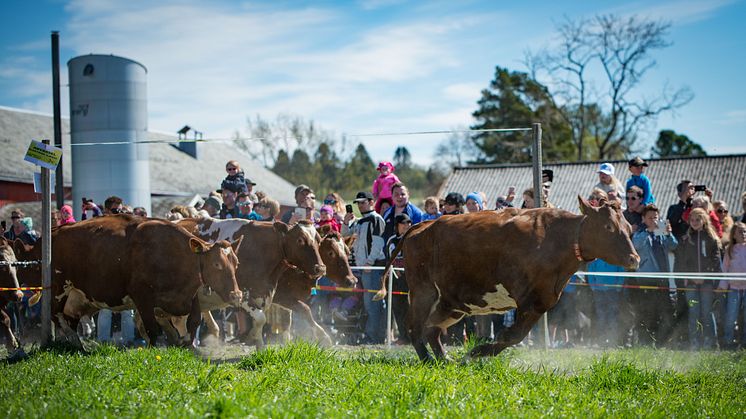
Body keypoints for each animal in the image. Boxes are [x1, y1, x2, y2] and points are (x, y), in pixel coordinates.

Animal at [177, 217, 326, 348]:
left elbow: (303, 310)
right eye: (300, 240)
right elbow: (261, 318)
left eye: (319, 241)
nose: (320, 268)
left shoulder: (274, 294)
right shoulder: (243, 295)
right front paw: (254, 339)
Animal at [374, 199, 636, 362]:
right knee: (414, 325)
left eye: (629, 228)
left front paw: (476, 353)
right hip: (423, 291)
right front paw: (476, 353)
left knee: (432, 329)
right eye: (608, 226)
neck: (558, 237)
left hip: (452, 303)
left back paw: (444, 358)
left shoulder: (542, 301)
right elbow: (511, 335)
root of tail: (423, 225)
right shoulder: (527, 300)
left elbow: (513, 336)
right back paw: (428, 359)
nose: (634, 258)